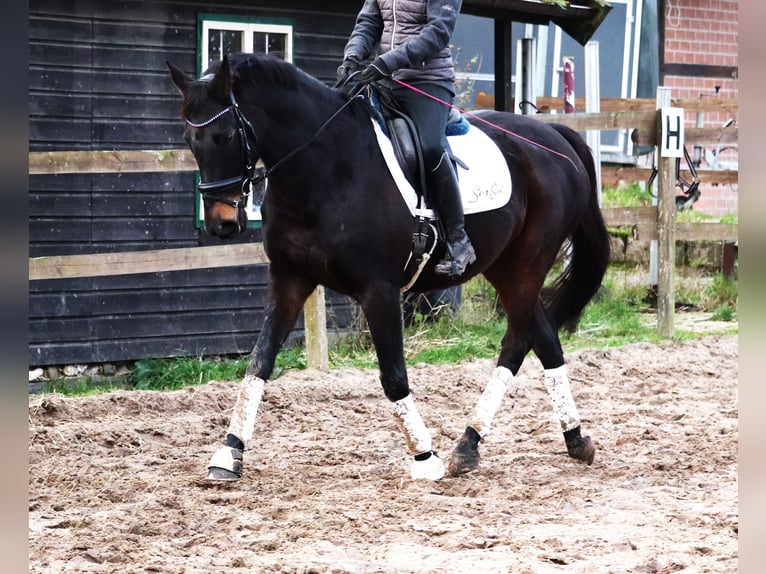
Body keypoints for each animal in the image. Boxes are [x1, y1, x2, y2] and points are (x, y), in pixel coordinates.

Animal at [168, 54, 612, 484]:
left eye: (226, 136)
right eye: (190, 140)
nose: (221, 224)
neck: (324, 168)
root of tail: (554, 135)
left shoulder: (379, 290)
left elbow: (393, 375)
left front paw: (425, 459)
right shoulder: (288, 279)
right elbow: (258, 363)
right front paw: (228, 454)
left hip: (526, 264)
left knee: (520, 340)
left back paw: (476, 444)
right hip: (504, 267)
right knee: (542, 338)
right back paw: (553, 441)